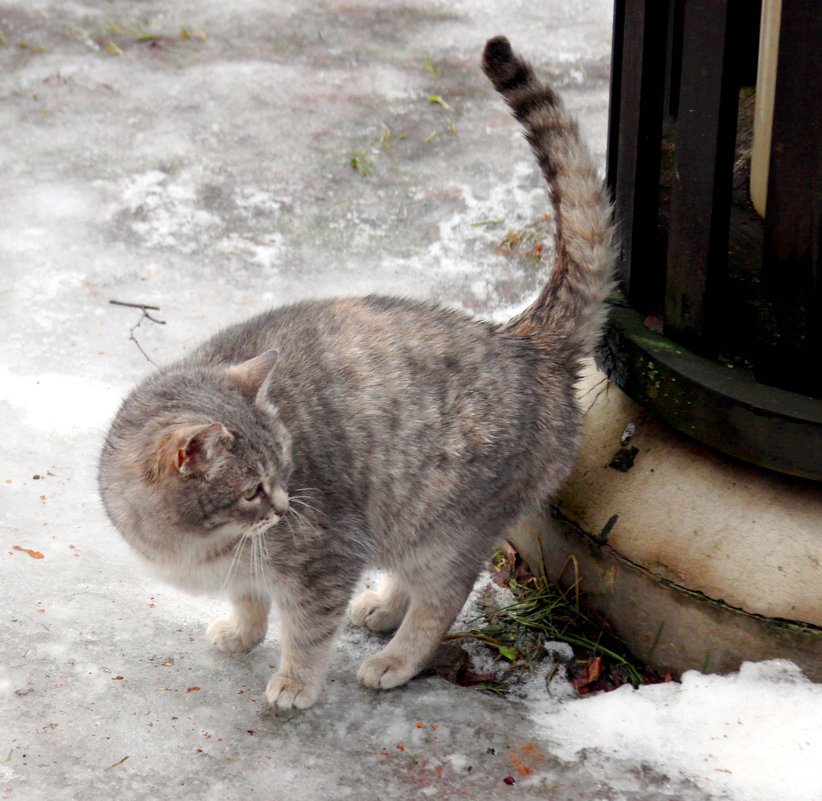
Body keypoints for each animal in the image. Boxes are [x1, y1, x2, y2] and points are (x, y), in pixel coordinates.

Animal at [98, 37, 612, 708]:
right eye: (252, 489)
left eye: (283, 471)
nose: (284, 507)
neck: (196, 543)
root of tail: (524, 338)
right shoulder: (255, 563)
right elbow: (247, 597)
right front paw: (241, 631)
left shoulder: (324, 561)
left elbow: (309, 632)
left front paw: (294, 682)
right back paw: (382, 607)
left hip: (444, 524)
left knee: (442, 597)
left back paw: (395, 658)